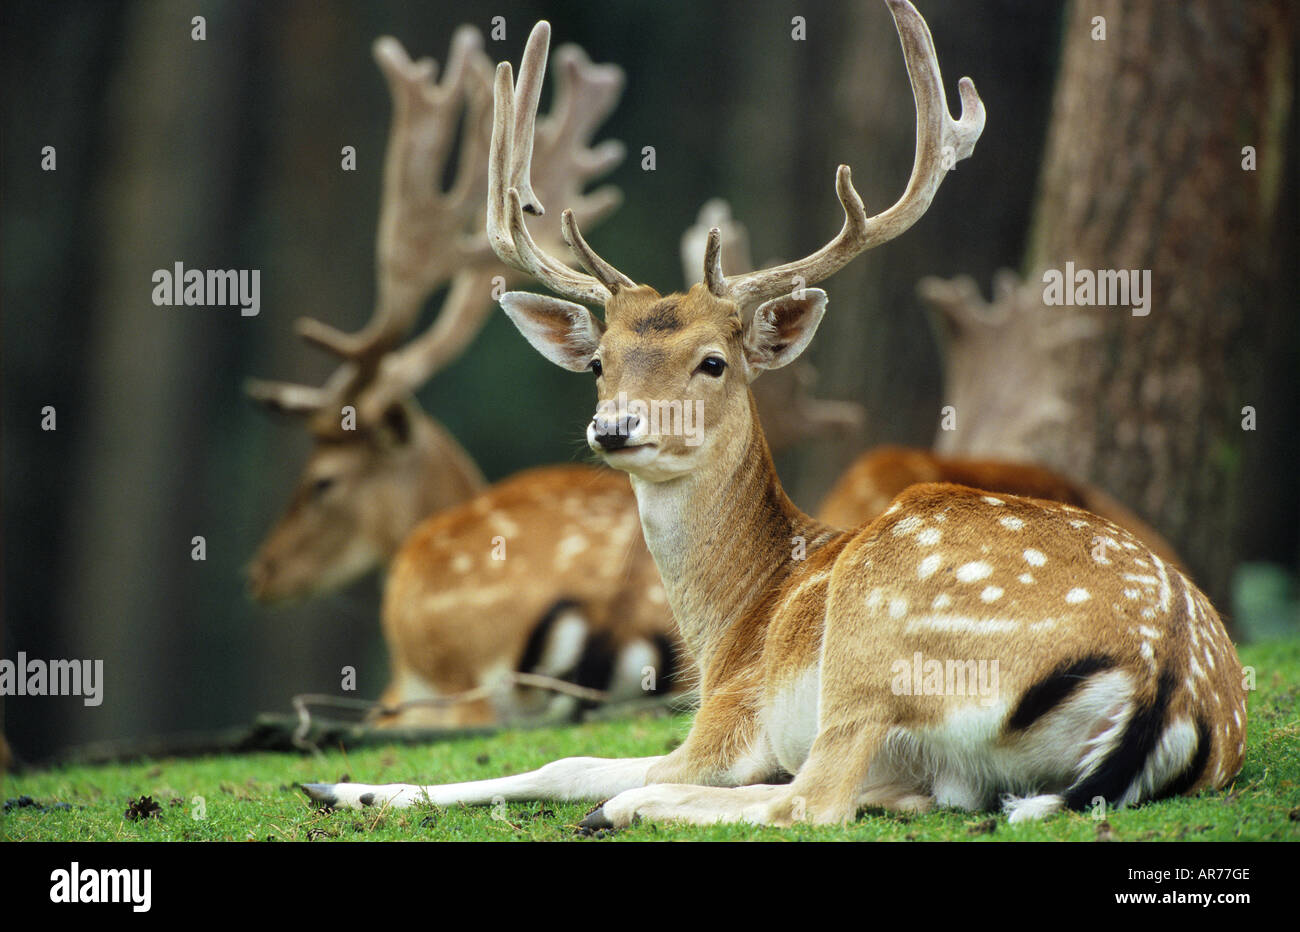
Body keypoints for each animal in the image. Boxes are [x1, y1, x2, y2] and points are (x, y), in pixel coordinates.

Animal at [299, 3, 1242, 826]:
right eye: (600, 364)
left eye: (713, 362)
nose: (616, 428)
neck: (732, 624)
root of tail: (1166, 676)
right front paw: (344, 788)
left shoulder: (729, 716)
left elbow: (567, 762)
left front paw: (345, 787)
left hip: (875, 640)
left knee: (810, 802)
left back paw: (627, 809)